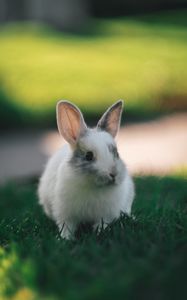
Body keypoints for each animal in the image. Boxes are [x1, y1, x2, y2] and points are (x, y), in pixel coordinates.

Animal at [38, 100, 134, 239]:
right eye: (88, 156)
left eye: (117, 153)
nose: (113, 174)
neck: (93, 186)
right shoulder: (66, 214)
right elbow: (66, 227)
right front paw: (65, 239)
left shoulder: (105, 215)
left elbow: (102, 224)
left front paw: (99, 233)